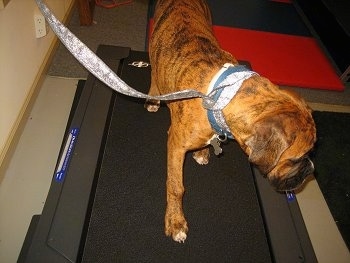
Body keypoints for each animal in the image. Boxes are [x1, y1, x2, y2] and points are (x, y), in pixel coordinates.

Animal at [144, 0, 316, 243]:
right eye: (296, 159)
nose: (310, 170)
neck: (222, 94)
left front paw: (202, 151)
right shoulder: (176, 145)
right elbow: (176, 187)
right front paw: (176, 221)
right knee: (153, 72)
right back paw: (153, 98)